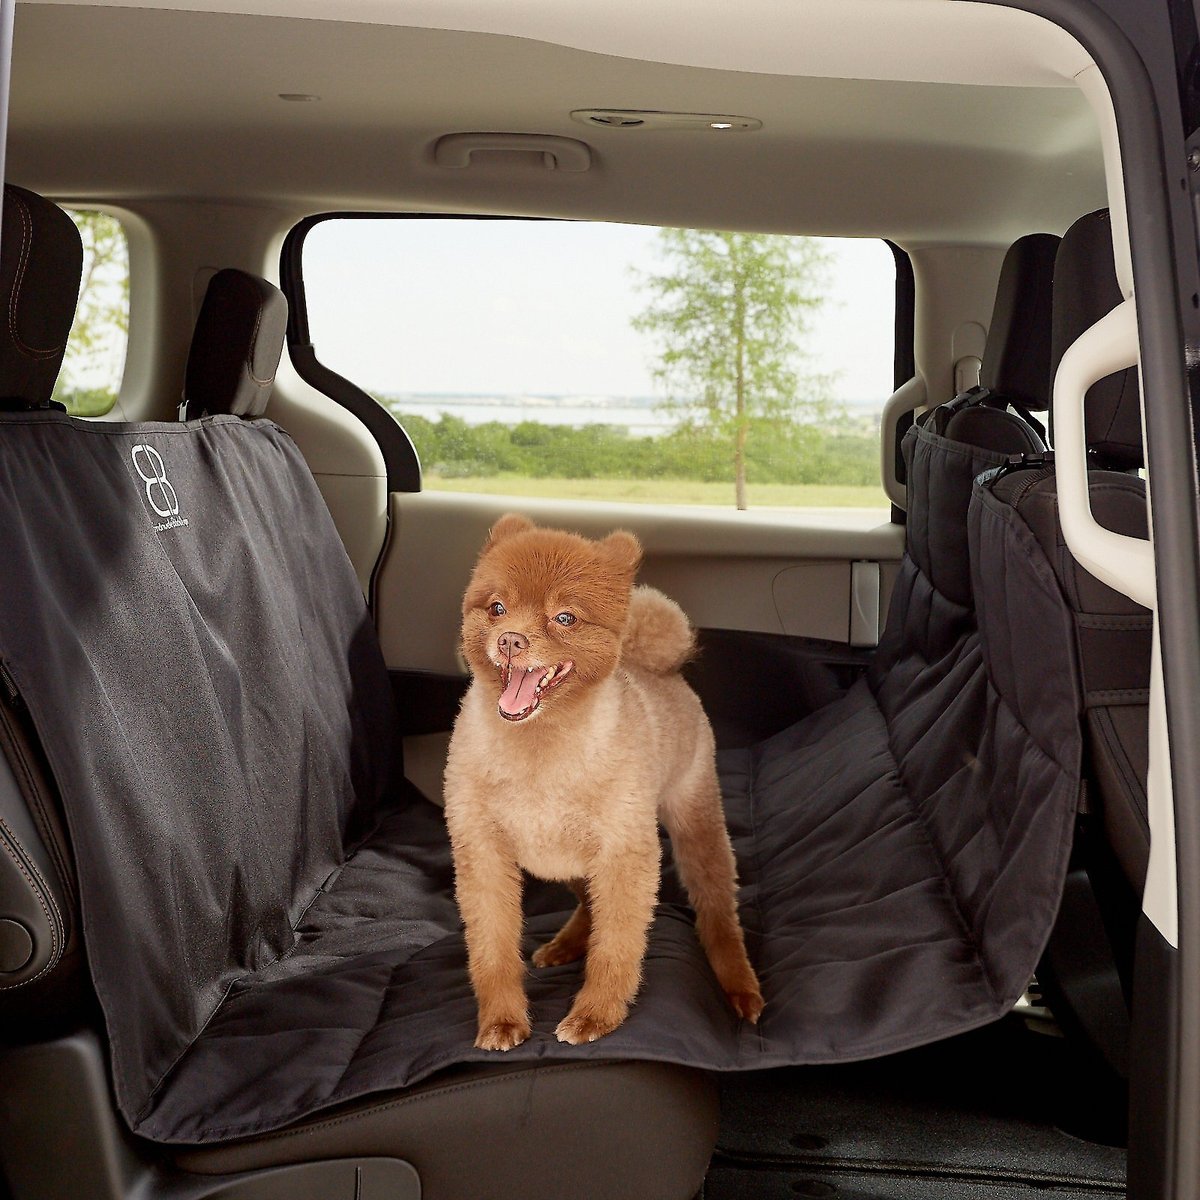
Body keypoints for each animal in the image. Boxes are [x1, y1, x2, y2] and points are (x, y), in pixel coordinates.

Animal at [446, 516, 763, 1051]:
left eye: (565, 618)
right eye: (496, 608)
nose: (510, 639)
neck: (540, 751)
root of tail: (654, 665)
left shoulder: (624, 854)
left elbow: (617, 944)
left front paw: (596, 1014)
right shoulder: (483, 854)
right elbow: (491, 948)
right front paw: (501, 1020)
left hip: (694, 822)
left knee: (719, 913)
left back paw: (738, 982)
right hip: (570, 859)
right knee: (587, 905)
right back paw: (565, 944)